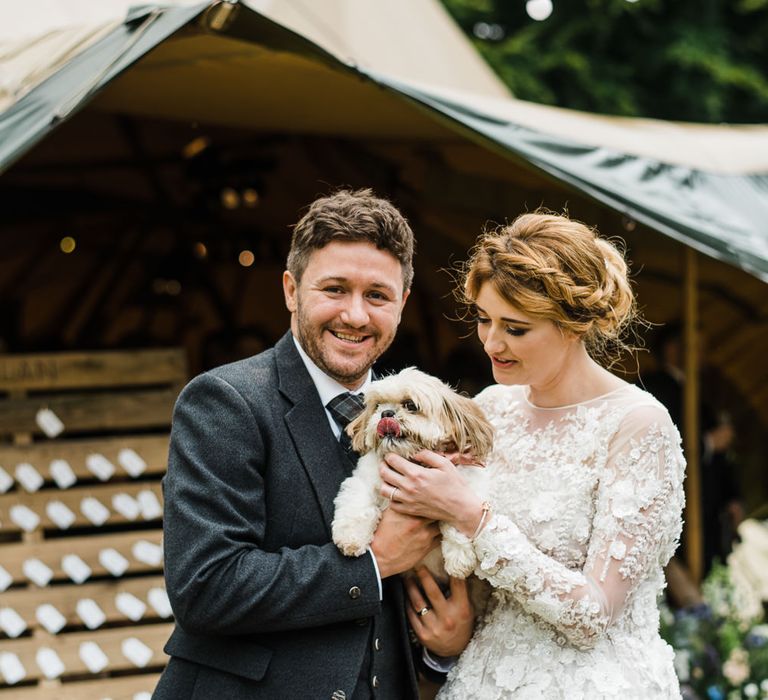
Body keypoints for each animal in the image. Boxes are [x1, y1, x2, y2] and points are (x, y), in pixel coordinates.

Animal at [332, 366, 496, 592]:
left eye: (410, 405)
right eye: (378, 405)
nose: (386, 414)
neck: (411, 460)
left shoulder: (463, 491)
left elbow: (456, 524)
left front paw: (459, 558)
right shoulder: (364, 479)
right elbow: (358, 506)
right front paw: (351, 538)